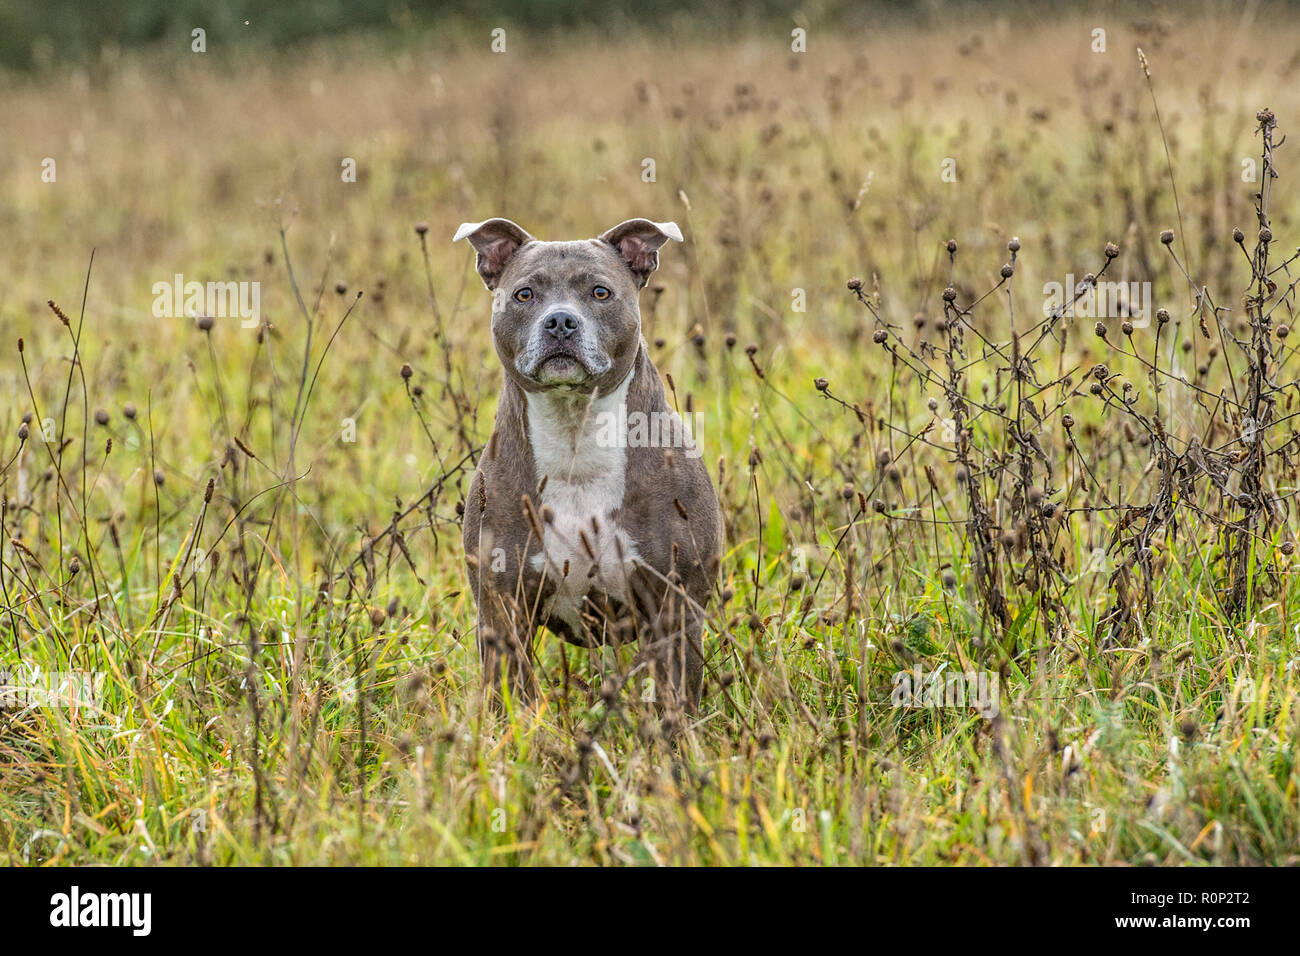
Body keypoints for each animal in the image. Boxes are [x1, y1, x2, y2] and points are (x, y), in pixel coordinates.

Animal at [454, 214, 722, 712]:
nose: (560, 321)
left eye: (600, 292)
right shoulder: (502, 614)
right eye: (524, 294)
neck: (575, 440)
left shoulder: (677, 609)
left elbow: (677, 698)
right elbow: (510, 698)